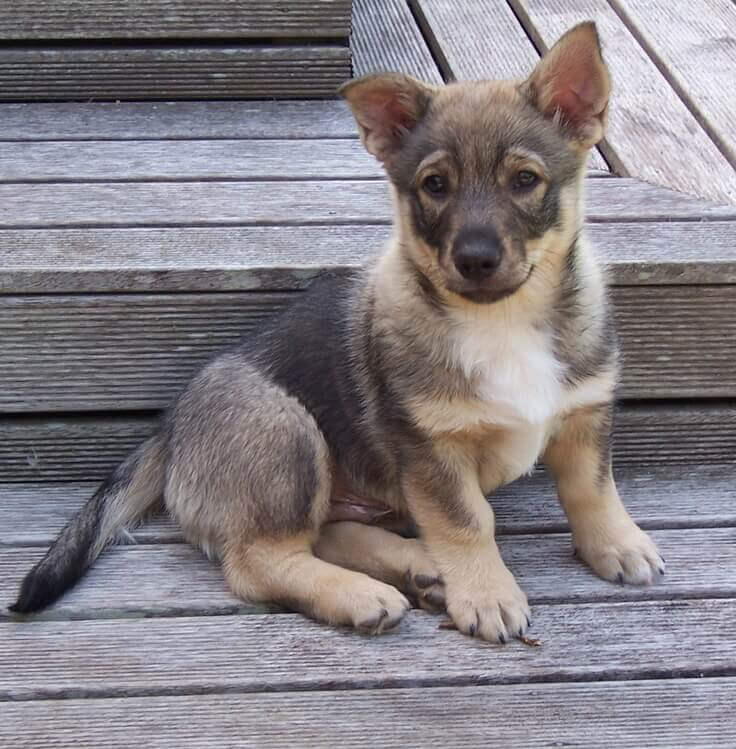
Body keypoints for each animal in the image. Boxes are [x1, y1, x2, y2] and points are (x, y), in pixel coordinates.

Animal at [12, 23, 668, 644]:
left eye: (525, 180)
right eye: (435, 186)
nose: (475, 259)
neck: (501, 320)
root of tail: (169, 431)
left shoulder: (585, 413)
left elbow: (592, 489)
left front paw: (617, 544)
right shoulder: (431, 449)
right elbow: (468, 522)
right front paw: (486, 594)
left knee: (326, 532)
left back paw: (417, 566)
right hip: (287, 435)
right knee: (255, 560)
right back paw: (362, 594)